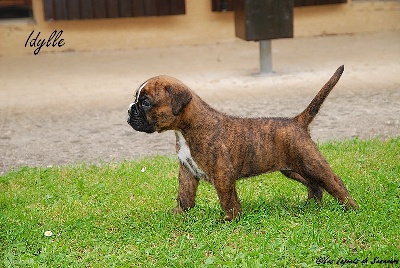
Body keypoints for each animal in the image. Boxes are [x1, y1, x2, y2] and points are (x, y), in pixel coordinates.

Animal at [127, 65, 356, 220]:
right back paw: (311, 206)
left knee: (334, 182)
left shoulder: (222, 174)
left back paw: (351, 208)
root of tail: (297, 121)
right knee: (314, 184)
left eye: (145, 102)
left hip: (310, 162)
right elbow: (184, 195)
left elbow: (227, 199)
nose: (129, 110)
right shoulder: (187, 171)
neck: (186, 129)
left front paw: (230, 219)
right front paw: (179, 215)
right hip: (292, 169)